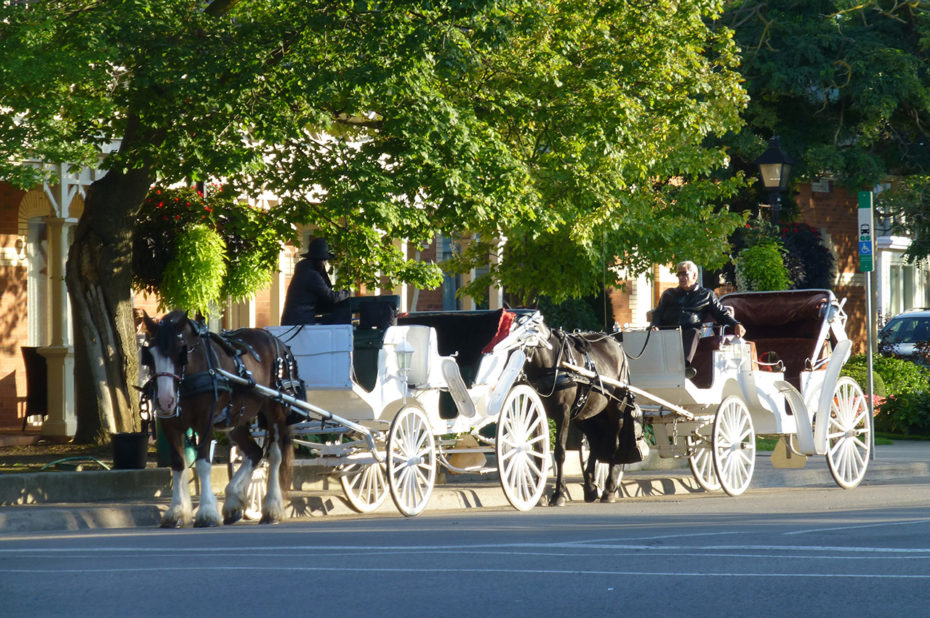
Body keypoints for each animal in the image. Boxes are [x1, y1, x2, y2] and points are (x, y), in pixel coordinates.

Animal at [140, 310, 298, 528]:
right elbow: (178, 465)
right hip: (236, 421)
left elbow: (203, 463)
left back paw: (271, 509)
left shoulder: (204, 421)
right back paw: (233, 501)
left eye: (181, 352)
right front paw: (176, 512)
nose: (165, 400)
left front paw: (207, 513)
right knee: (255, 453)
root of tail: (278, 341)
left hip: (275, 411)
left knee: (275, 456)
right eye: (150, 355)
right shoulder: (169, 424)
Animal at [520, 320, 644, 502]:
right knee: (595, 441)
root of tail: (615, 342)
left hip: (616, 409)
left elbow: (560, 452)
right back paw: (591, 487)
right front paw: (540, 495)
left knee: (614, 442)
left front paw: (559, 494)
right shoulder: (536, 411)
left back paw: (609, 489)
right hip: (585, 415)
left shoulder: (563, 413)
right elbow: (539, 453)